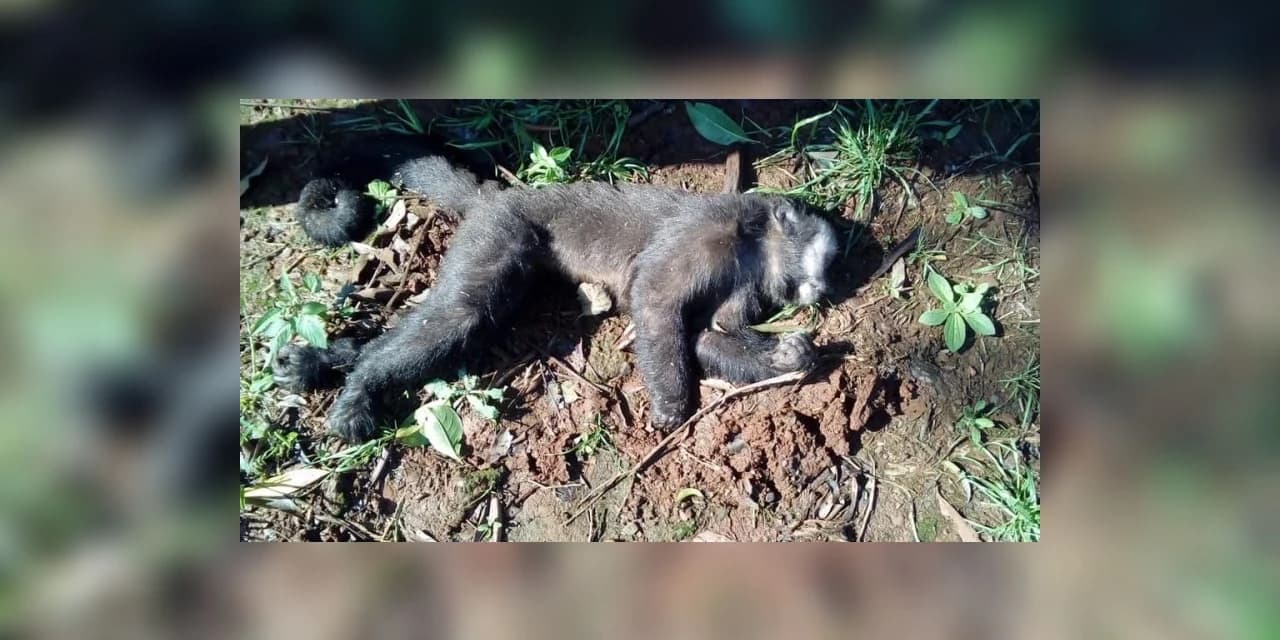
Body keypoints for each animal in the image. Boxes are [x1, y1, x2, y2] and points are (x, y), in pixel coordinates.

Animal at [275, 156, 838, 442]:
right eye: (825, 260)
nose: (823, 287)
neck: (753, 246)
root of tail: (498, 195)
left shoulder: (745, 283)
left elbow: (706, 334)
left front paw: (791, 356)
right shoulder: (710, 227)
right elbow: (654, 298)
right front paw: (672, 405)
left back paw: (325, 362)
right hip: (500, 231)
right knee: (462, 311)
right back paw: (361, 384)